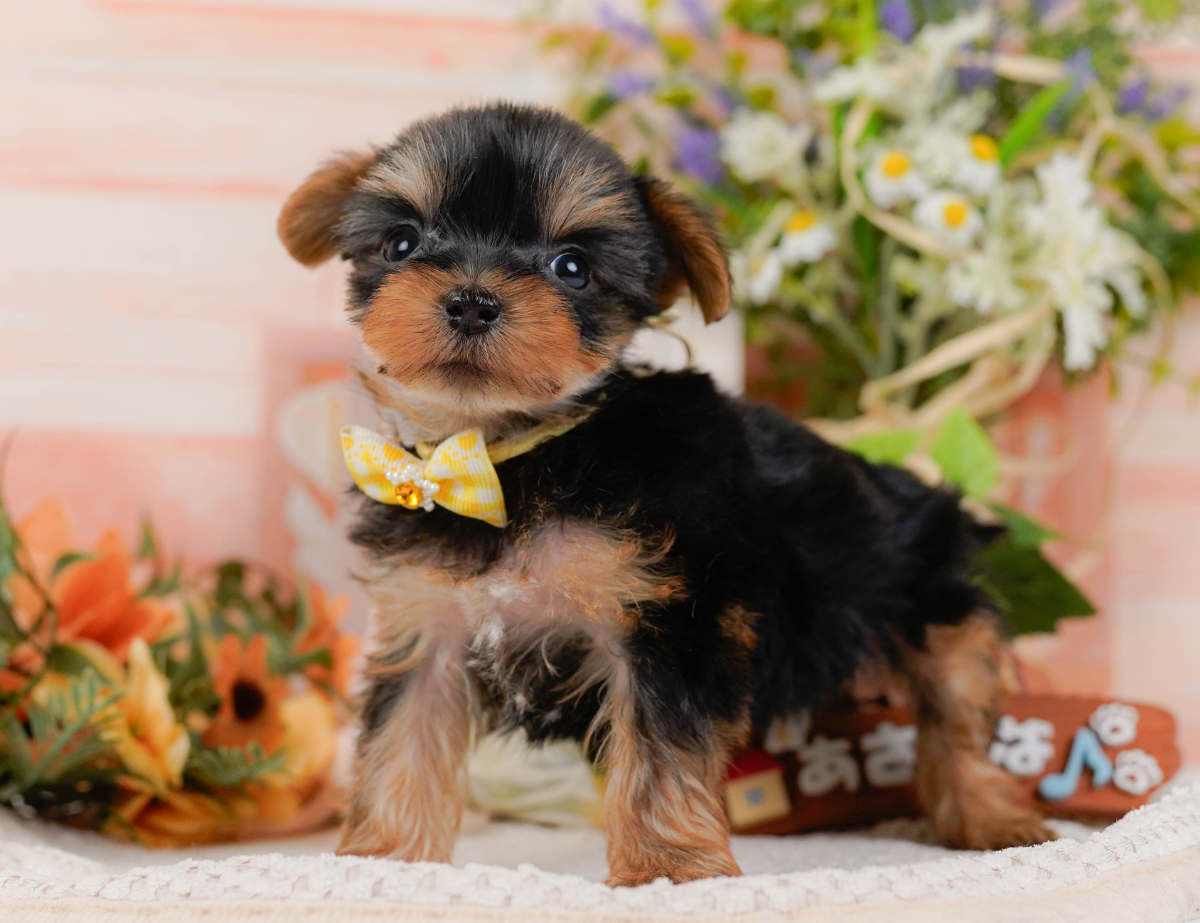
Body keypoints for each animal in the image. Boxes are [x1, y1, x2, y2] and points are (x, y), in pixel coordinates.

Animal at [277, 102, 1055, 887]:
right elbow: (402, 736)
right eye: (402, 242)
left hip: (927, 594)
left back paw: (992, 819)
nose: (470, 301)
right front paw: (382, 861)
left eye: (572, 267)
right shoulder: (427, 621)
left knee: (955, 711)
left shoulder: (668, 618)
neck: (509, 458)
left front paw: (666, 869)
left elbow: (659, 749)